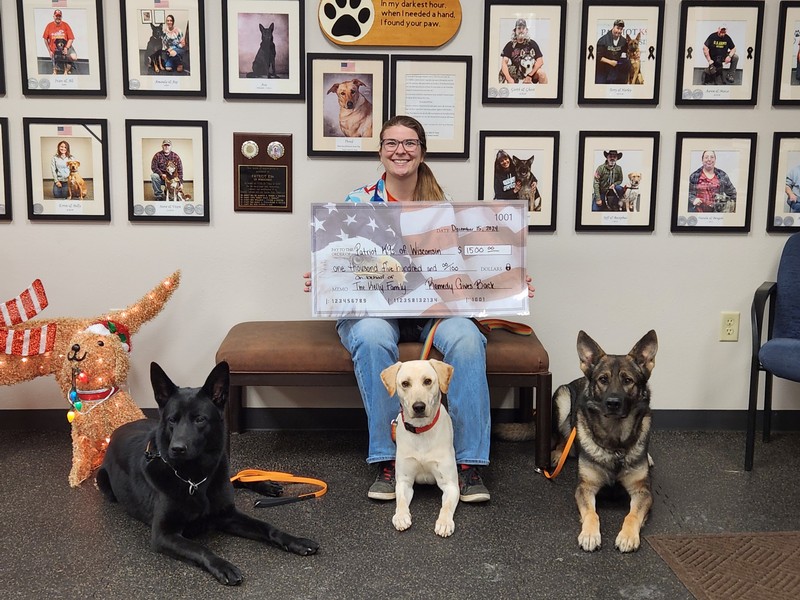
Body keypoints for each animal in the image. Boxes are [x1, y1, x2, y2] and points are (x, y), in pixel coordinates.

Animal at [95, 360, 318, 584]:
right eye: (172, 420)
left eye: (200, 419)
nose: (176, 449)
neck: (193, 478)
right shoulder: (163, 535)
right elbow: (200, 548)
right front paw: (223, 566)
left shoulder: (228, 514)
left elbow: (267, 527)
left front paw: (295, 540)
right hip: (103, 482)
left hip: (222, 465)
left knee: (235, 477)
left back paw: (266, 485)